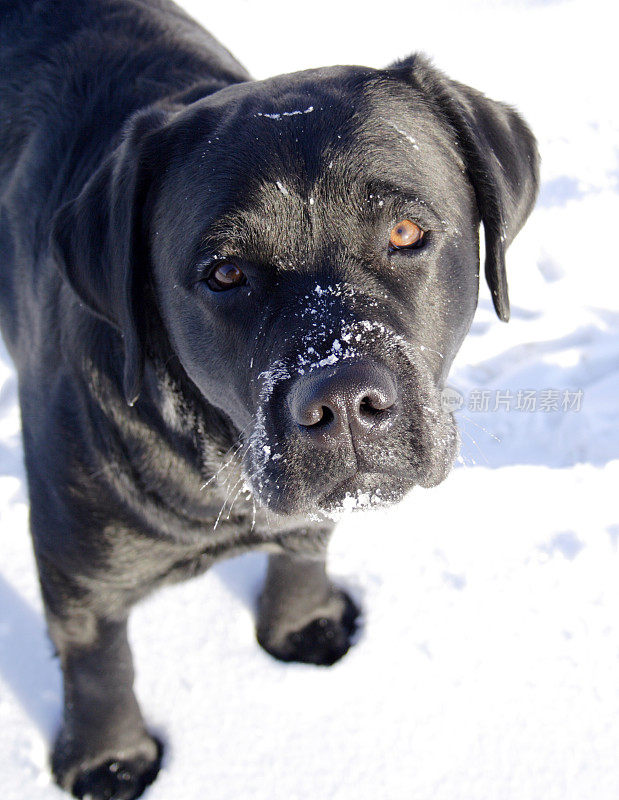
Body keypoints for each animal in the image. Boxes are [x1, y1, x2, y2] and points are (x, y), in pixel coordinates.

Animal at [0, 3, 536, 796]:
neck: (217, 462)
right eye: (224, 273)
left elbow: (306, 544)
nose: (342, 400)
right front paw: (111, 760)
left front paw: (302, 626)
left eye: (405, 232)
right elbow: (98, 662)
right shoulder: (76, 560)